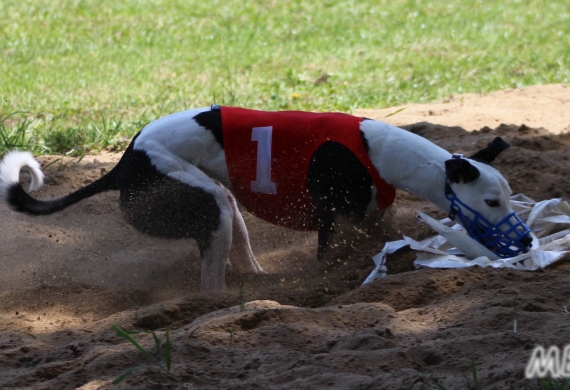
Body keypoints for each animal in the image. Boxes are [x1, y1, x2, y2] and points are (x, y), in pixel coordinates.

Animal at [1, 105, 532, 290]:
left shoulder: (371, 217)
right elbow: (330, 254)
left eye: (509, 197)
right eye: (491, 202)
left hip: (224, 207)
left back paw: (262, 283)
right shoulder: (332, 219)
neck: (376, 151)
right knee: (210, 282)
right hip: (201, 202)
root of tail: (123, 164)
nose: (525, 243)